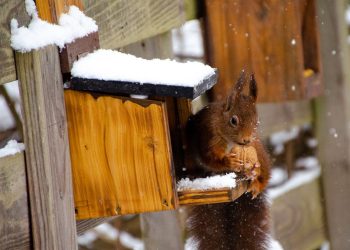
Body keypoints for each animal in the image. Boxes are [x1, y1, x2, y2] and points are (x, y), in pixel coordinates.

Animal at [186, 71, 270, 249]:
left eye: (257, 121)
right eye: (233, 120)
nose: (246, 140)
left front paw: (253, 169)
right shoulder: (208, 139)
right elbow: (210, 159)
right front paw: (229, 163)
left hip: (259, 150)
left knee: (265, 175)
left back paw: (255, 182)